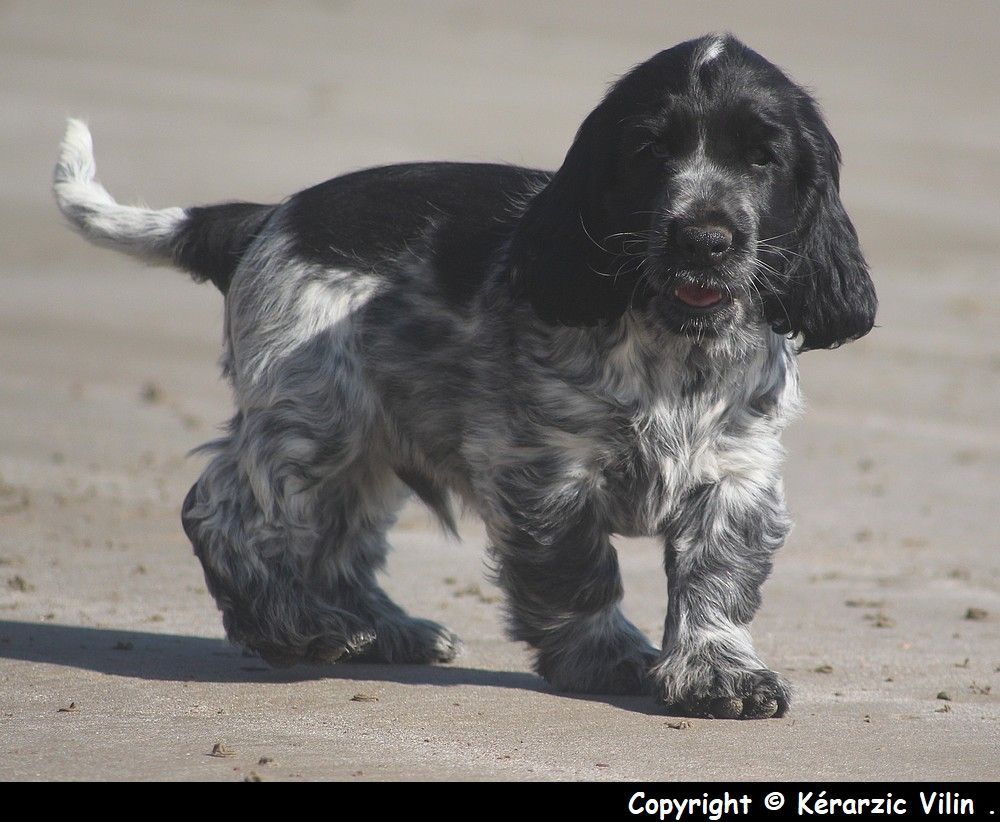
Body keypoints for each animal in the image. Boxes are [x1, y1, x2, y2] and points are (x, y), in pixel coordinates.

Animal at [54, 35, 876, 720]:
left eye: (763, 158)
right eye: (650, 150)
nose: (704, 239)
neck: (674, 346)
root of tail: (267, 216)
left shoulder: (737, 474)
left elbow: (718, 580)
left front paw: (720, 674)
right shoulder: (545, 472)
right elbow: (578, 574)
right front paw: (608, 659)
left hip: (365, 443)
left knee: (337, 542)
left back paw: (382, 632)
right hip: (316, 412)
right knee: (224, 510)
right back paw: (296, 628)